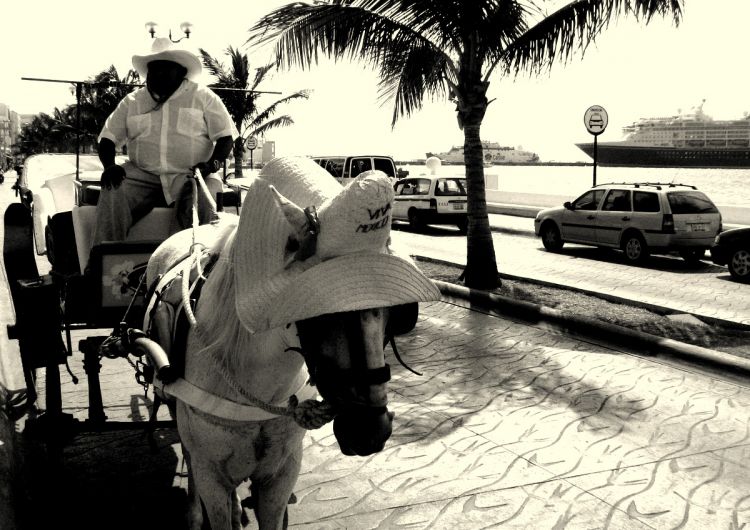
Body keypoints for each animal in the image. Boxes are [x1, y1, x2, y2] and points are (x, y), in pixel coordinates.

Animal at [142, 158, 440, 528]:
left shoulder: (281, 475)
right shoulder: (211, 473)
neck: (253, 387)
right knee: (186, 450)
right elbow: (207, 486)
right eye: (317, 312)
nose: (369, 431)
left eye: (398, 314)